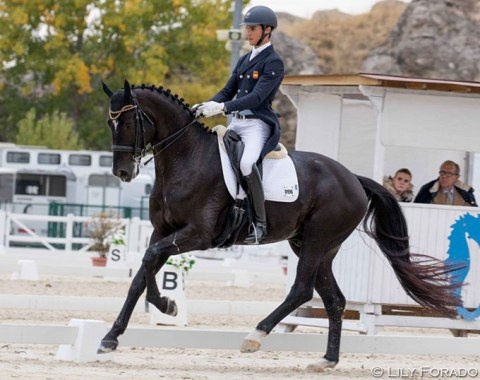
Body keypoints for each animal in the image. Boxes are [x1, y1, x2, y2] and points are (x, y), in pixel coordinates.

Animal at [99, 79, 464, 372]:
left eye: (128, 121)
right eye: (109, 122)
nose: (123, 173)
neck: (187, 159)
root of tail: (353, 179)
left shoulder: (198, 235)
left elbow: (149, 263)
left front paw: (163, 307)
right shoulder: (162, 232)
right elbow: (141, 274)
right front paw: (114, 336)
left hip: (317, 240)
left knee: (301, 289)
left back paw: (255, 336)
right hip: (315, 246)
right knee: (334, 299)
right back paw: (327, 360)